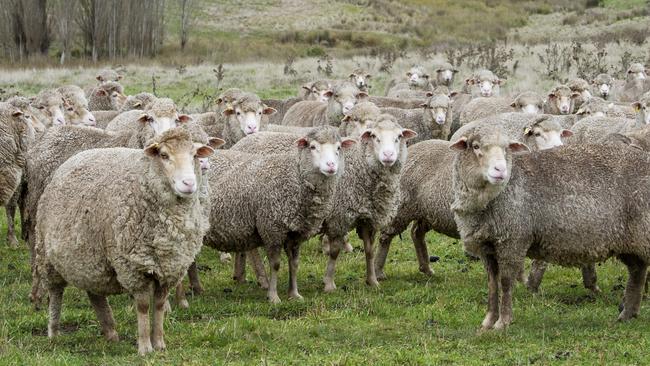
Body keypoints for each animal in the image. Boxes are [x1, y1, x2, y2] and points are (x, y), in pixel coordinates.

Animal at [33, 128, 213, 354]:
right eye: (164, 155)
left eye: (194, 155)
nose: (189, 184)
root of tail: (74, 158)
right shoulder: (134, 267)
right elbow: (143, 306)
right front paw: (145, 347)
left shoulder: (169, 268)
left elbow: (159, 305)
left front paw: (159, 343)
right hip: (47, 256)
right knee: (56, 294)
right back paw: (54, 332)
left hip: (90, 257)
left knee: (95, 294)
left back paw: (110, 333)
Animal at [204, 126, 352, 304]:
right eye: (312, 147)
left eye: (339, 148)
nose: (331, 166)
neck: (294, 178)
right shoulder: (272, 229)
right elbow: (275, 264)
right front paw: (273, 297)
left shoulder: (296, 234)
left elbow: (294, 264)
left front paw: (294, 294)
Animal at [374, 114, 568, 280]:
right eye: (537, 133)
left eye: (561, 133)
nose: (559, 148)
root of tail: (412, 148)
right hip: (401, 207)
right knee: (385, 236)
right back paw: (379, 271)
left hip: (427, 211)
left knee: (416, 233)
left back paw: (426, 268)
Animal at [448, 124, 650, 330]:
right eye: (475, 146)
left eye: (506, 149)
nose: (500, 170)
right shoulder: (488, 247)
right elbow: (492, 284)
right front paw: (487, 323)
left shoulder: (512, 241)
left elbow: (505, 282)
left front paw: (502, 323)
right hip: (631, 241)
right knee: (637, 271)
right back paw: (627, 315)